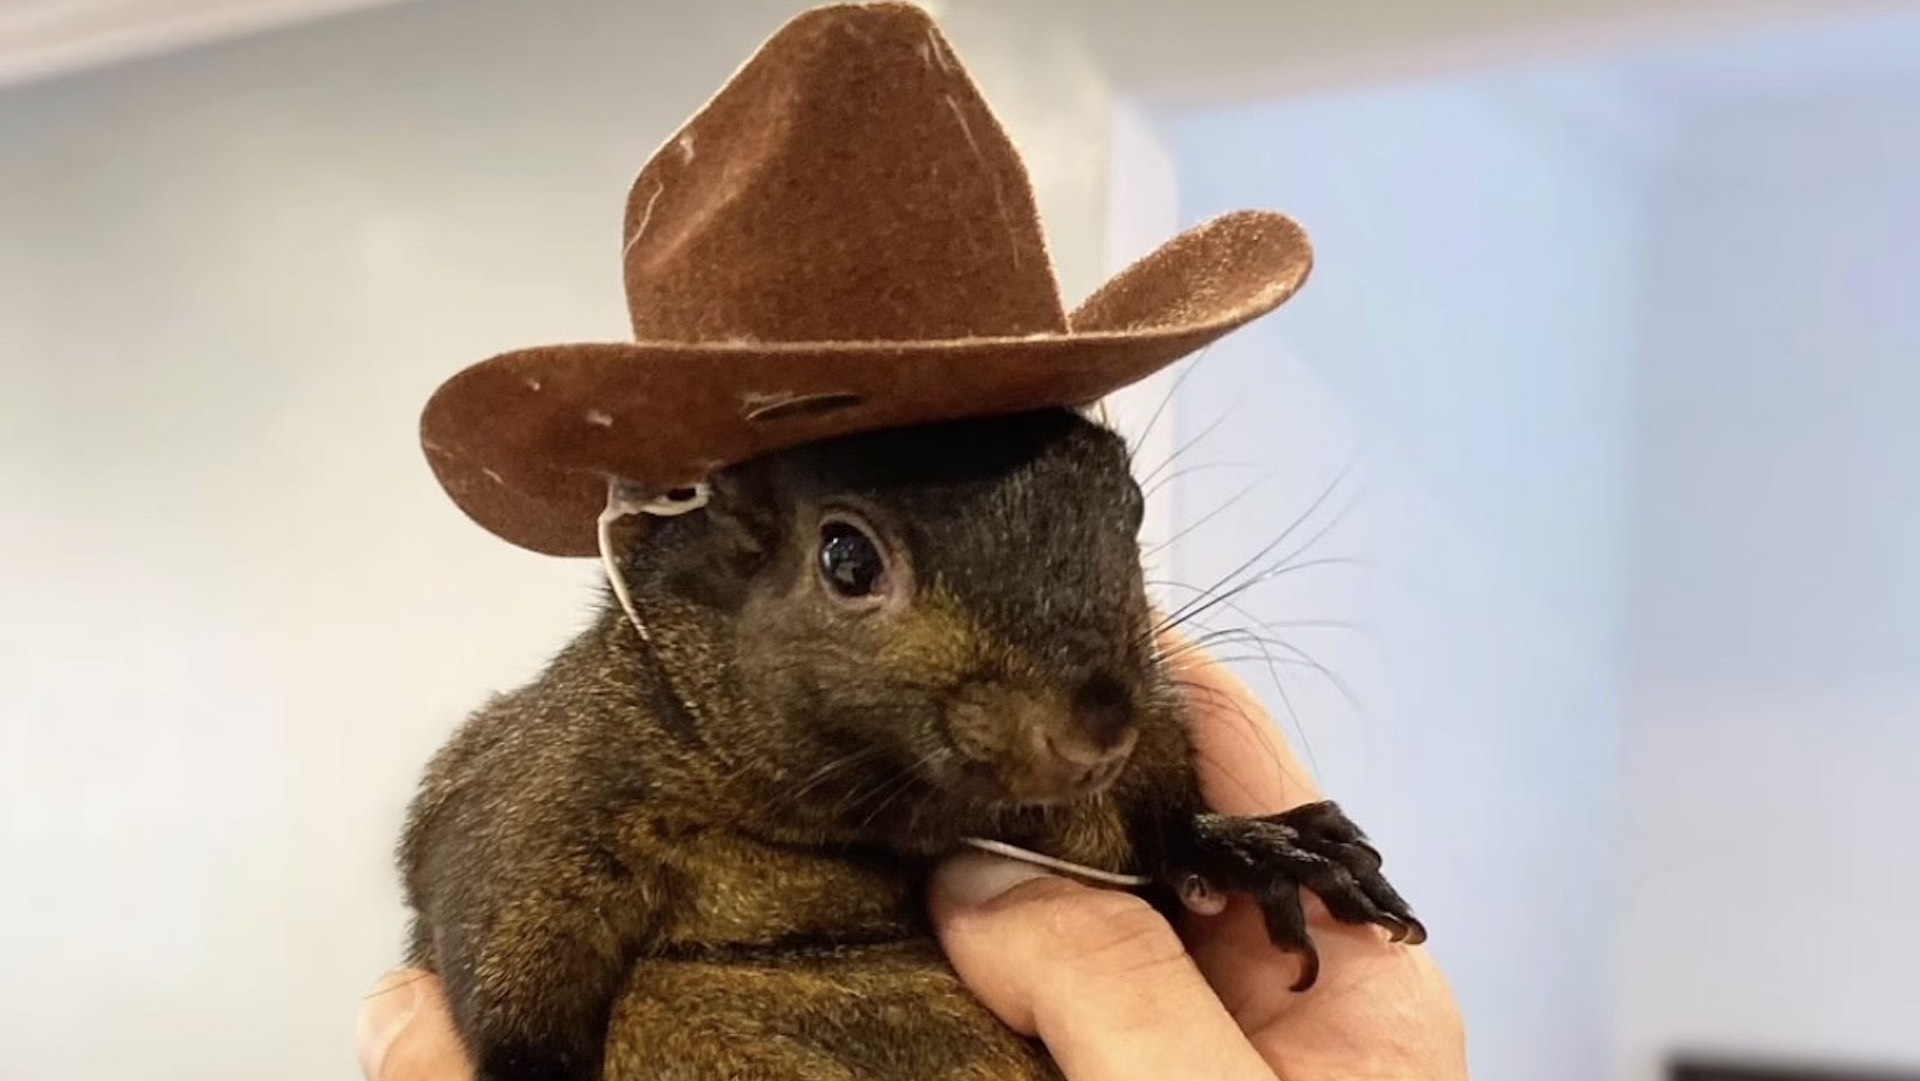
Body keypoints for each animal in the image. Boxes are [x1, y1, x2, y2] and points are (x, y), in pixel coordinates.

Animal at [394, 404, 1427, 1081]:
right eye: (846, 557)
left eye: (1129, 505)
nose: (1097, 729)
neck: (875, 816)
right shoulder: (536, 811)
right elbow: (511, 999)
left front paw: (1261, 847)